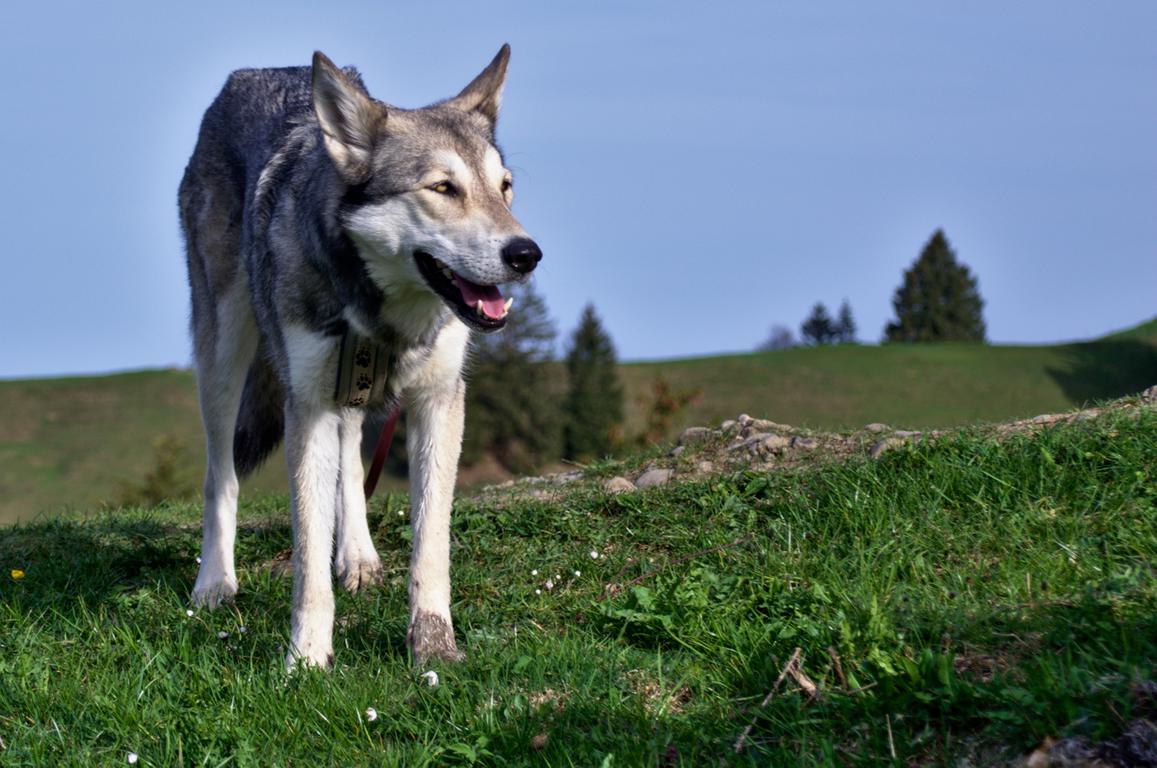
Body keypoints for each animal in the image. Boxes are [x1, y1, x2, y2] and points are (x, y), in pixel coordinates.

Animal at [179, 45, 541, 669]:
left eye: (505, 187)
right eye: (443, 188)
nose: (526, 254)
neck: (384, 317)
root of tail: (258, 72)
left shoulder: (438, 403)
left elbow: (430, 548)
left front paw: (433, 648)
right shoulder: (306, 407)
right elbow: (307, 561)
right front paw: (305, 660)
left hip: (346, 387)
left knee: (349, 460)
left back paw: (358, 556)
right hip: (225, 353)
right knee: (219, 474)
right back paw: (215, 582)